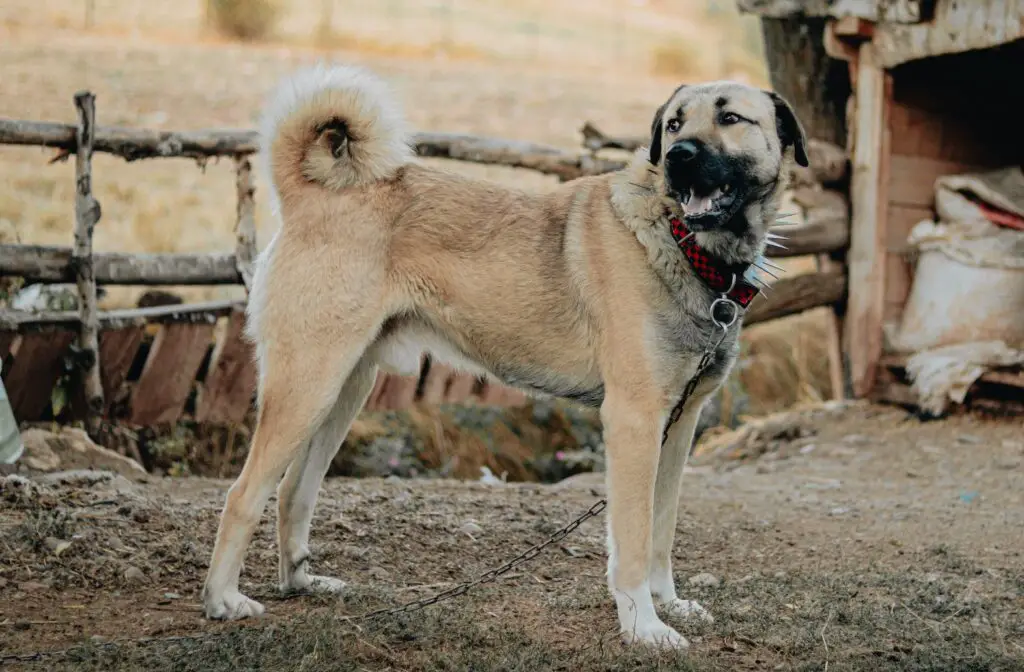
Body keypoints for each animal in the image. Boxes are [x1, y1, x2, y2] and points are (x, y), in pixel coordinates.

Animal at [199, 61, 806, 647]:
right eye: (675, 124)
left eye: (730, 118)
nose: (678, 158)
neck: (679, 241)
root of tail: (315, 191)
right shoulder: (634, 421)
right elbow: (633, 538)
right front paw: (643, 626)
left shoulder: (679, 425)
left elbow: (661, 528)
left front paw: (668, 603)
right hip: (308, 383)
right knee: (244, 493)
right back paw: (222, 600)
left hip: (345, 388)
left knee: (292, 491)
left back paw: (301, 582)